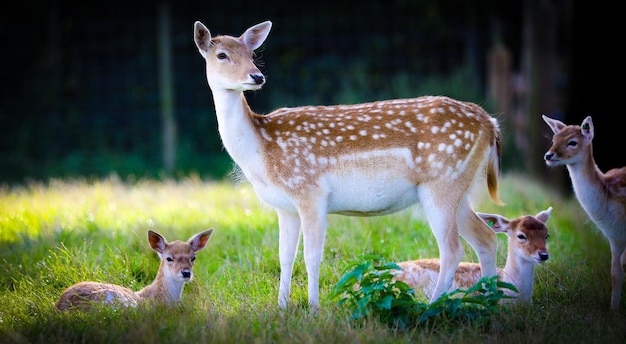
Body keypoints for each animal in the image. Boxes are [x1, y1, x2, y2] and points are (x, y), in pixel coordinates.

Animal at [194, 20, 502, 312]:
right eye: (222, 55)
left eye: (251, 54)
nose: (256, 76)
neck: (261, 152)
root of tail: (491, 124)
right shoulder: (285, 206)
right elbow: (285, 257)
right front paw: (281, 308)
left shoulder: (310, 193)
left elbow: (311, 256)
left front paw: (314, 309)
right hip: (458, 187)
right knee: (486, 238)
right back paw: (492, 303)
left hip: (441, 183)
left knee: (452, 249)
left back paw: (433, 307)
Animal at [540, 115, 624, 310]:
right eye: (554, 139)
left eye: (572, 142)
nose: (548, 155)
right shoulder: (615, 237)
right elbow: (615, 273)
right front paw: (613, 310)